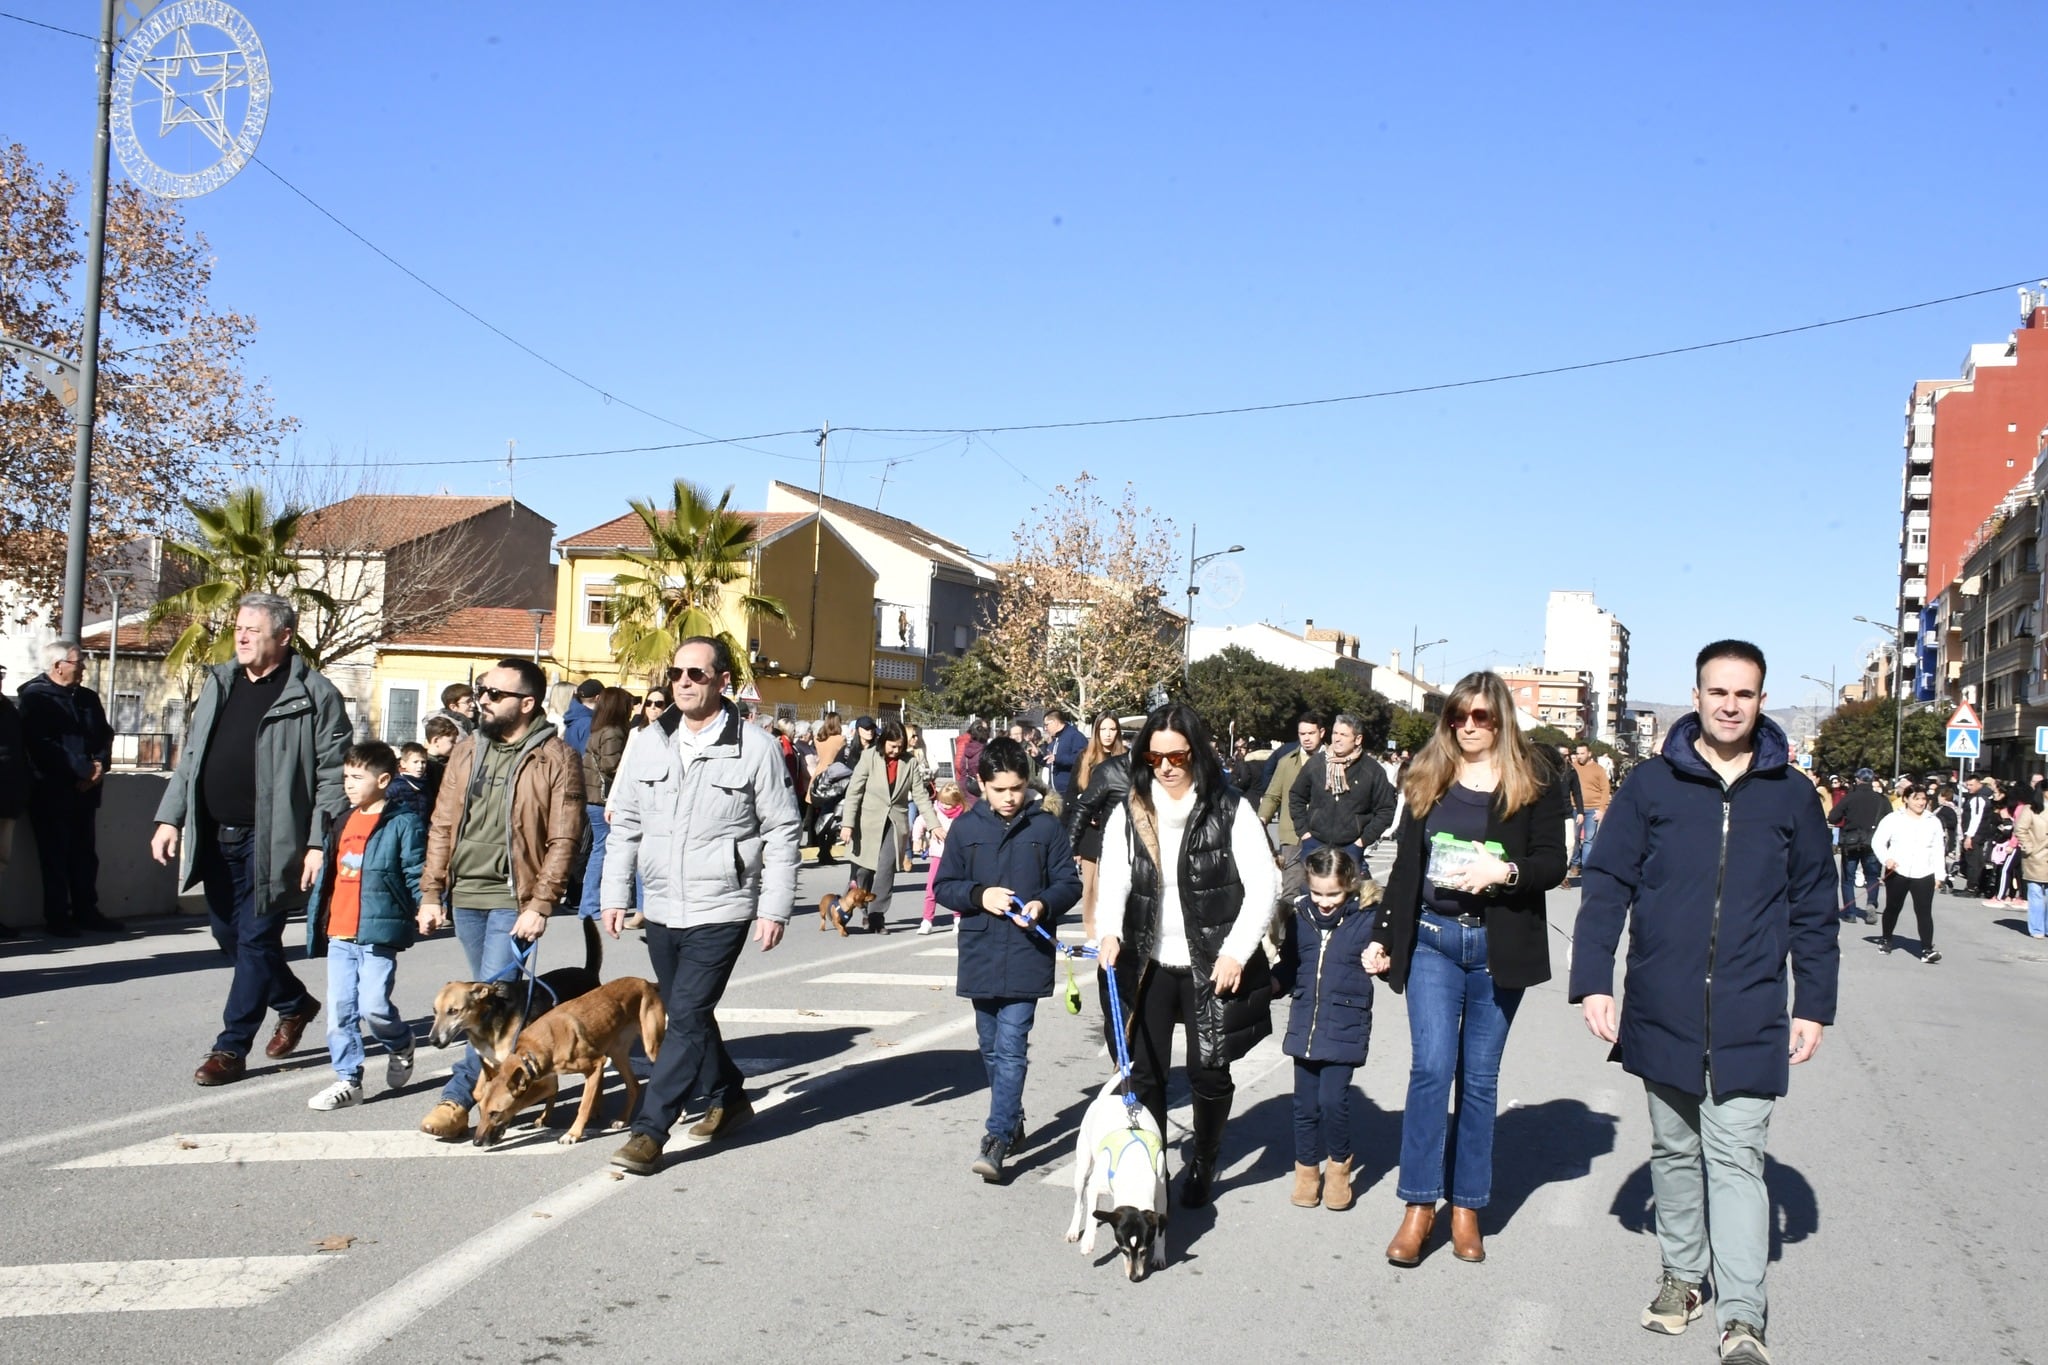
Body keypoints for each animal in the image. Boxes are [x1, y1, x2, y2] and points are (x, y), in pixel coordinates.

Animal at [468, 978, 663, 1146]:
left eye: (495, 1113)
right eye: (480, 1110)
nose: (476, 1142)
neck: (531, 1051)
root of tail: (645, 982)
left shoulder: (595, 1065)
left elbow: (583, 1106)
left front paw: (573, 1134)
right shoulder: (546, 1080)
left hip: (651, 1048)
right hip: (618, 1053)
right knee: (634, 1086)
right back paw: (623, 1119)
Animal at [1064, 1080, 1163, 1285]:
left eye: (1144, 1251)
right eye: (1123, 1250)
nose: (1135, 1278)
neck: (1135, 1175)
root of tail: (1108, 1098)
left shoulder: (1162, 1191)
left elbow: (1160, 1230)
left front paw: (1159, 1255)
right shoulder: (1094, 1186)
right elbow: (1091, 1215)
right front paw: (1087, 1242)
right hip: (1083, 1168)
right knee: (1080, 1204)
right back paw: (1074, 1230)